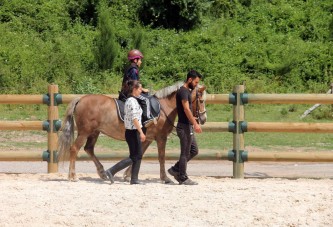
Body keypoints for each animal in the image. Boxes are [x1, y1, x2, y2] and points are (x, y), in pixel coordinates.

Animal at [58, 81, 206, 183]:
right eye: (201, 100)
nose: (203, 119)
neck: (164, 108)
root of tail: (81, 99)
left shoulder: (147, 138)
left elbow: (139, 154)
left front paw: (127, 175)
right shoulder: (161, 138)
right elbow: (161, 157)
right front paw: (165, 178)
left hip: (94, 132)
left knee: (89, 149)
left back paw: (102, 172)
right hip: (85, 132)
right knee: (74, 149)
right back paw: (73, 176)